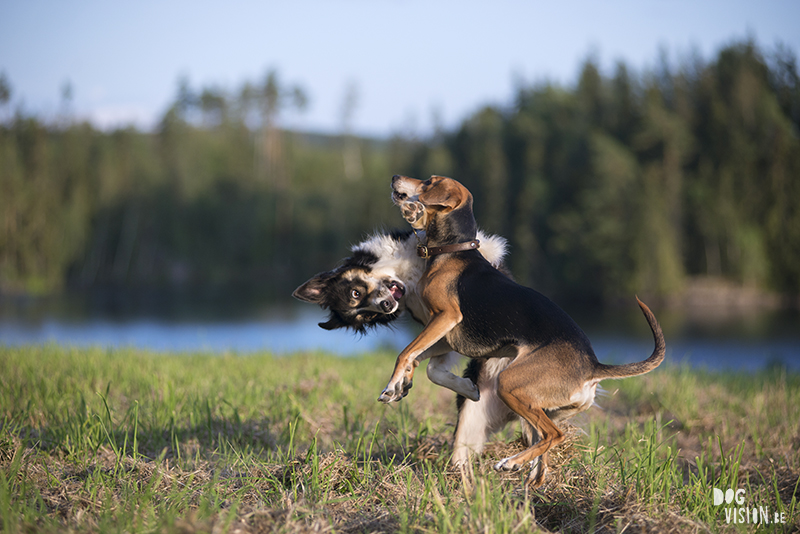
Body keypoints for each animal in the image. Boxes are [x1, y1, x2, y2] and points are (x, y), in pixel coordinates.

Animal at [294, 229, 524, 464]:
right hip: (470, 424)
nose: (386, 306)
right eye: (368, 316)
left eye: (355, 293)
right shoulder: (444, 328)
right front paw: (465, 387)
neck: (407, 278)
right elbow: (431, 368)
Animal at [378, 176, 664, 490]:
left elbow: (405, 353)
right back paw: (529, 480)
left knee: (553, 435)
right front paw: (432, 386)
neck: (454, 250)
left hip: (509, 383)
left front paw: (391, 387)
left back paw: (511, 463)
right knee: (543, 452)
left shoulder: (446, 318)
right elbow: (423, 363)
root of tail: (592, 366)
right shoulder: (446, 335)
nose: (394, 178)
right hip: (542, 405)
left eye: (429, 182)